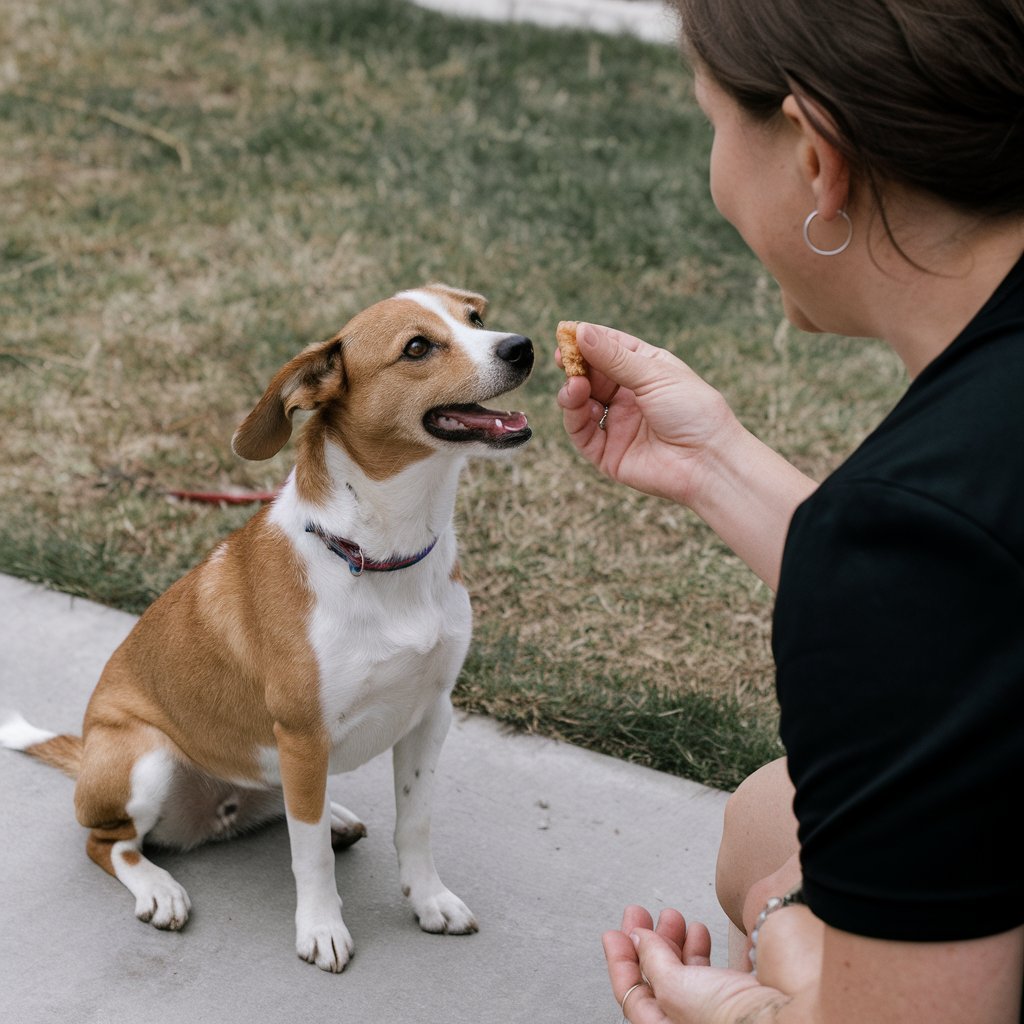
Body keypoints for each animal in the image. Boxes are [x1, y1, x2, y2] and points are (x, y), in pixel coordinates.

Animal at [2, 284, 536, 970]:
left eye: (475, 317)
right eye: (417, 347)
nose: (521, 347)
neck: (378, 554)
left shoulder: (430, 713)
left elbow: (413, 825)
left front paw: (429, 901)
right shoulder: (304, 737)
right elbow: (308, 857)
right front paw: (321, 928)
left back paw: (332, 816)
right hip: (146, 761)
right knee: (109, 842)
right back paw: (159, 887)